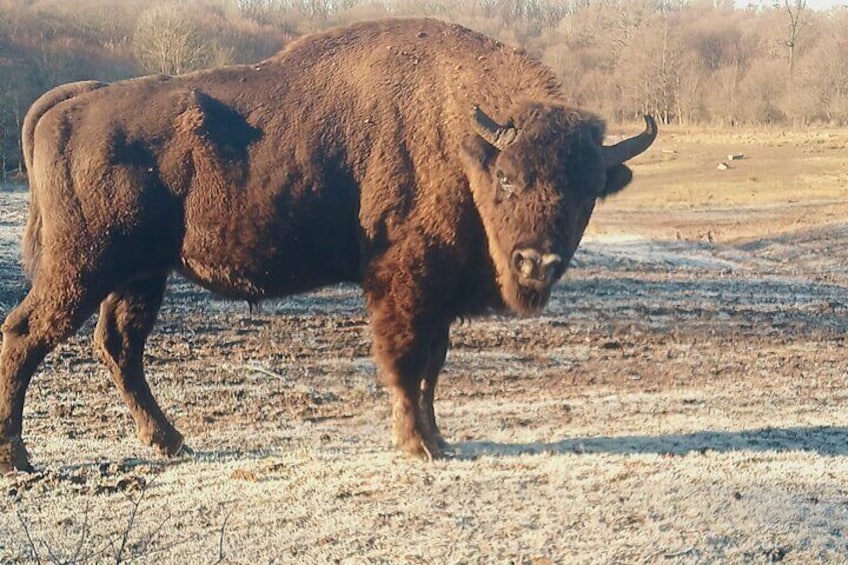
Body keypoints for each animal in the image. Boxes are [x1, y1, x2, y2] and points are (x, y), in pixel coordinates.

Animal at [0, 17, 660, 470]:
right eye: (508, 179)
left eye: (591, 192)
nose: (536, 261)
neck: (463, 139)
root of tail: (75, 101)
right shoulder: (404, 282)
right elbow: (405, 363)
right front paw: (417, 446)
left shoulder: (439, 295)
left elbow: (432, 367)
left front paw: (438, 440)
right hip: (81, 268)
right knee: (26, 334)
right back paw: (19, 458)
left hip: (141, 274)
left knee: (119, 347)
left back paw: (172, 442)